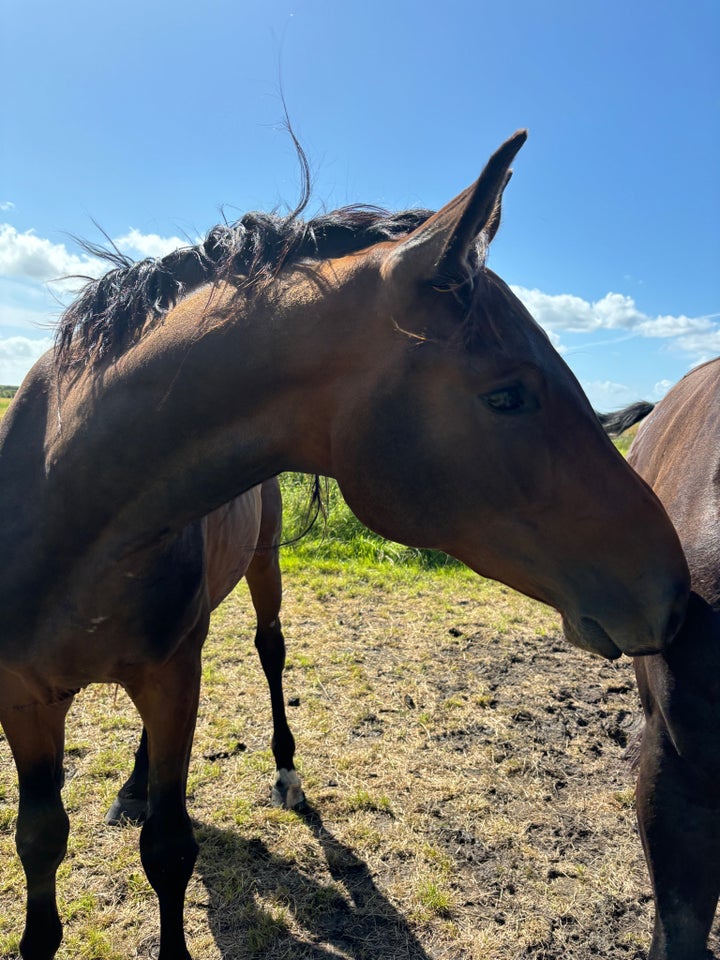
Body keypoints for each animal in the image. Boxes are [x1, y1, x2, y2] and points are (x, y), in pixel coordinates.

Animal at [1, 129, 692, 960]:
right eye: (507, 394)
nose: (672, 589)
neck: (66, 507)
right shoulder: (22, 698)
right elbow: (40, 840)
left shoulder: (172, 677)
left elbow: (167, 849)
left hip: (258, 571)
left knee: (269, 651)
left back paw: (282, 775)